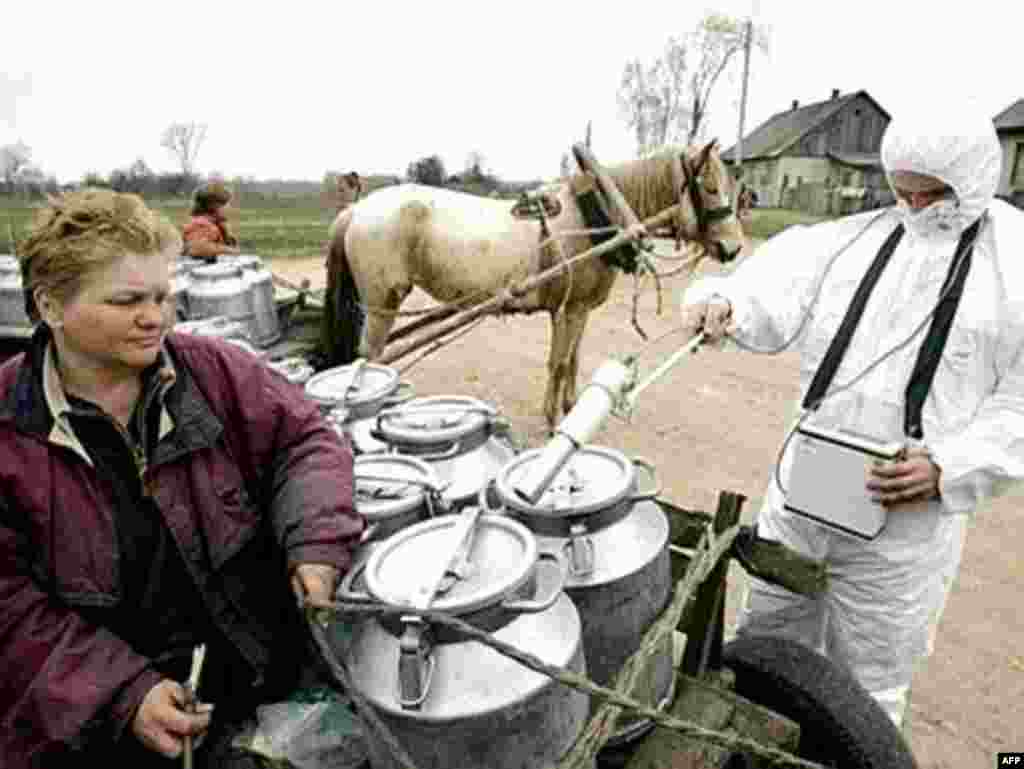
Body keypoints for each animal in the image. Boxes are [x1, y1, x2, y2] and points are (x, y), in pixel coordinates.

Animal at [319, 142, 745, 430]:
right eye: (709, 187)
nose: (734, 247)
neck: (597, 215)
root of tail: (355, 210)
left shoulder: (577, 309)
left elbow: (572, 359)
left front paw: (571, 406)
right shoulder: (569, 309)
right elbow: (559, 362)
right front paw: (553, 419)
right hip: (382, 304)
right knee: (369, 358)